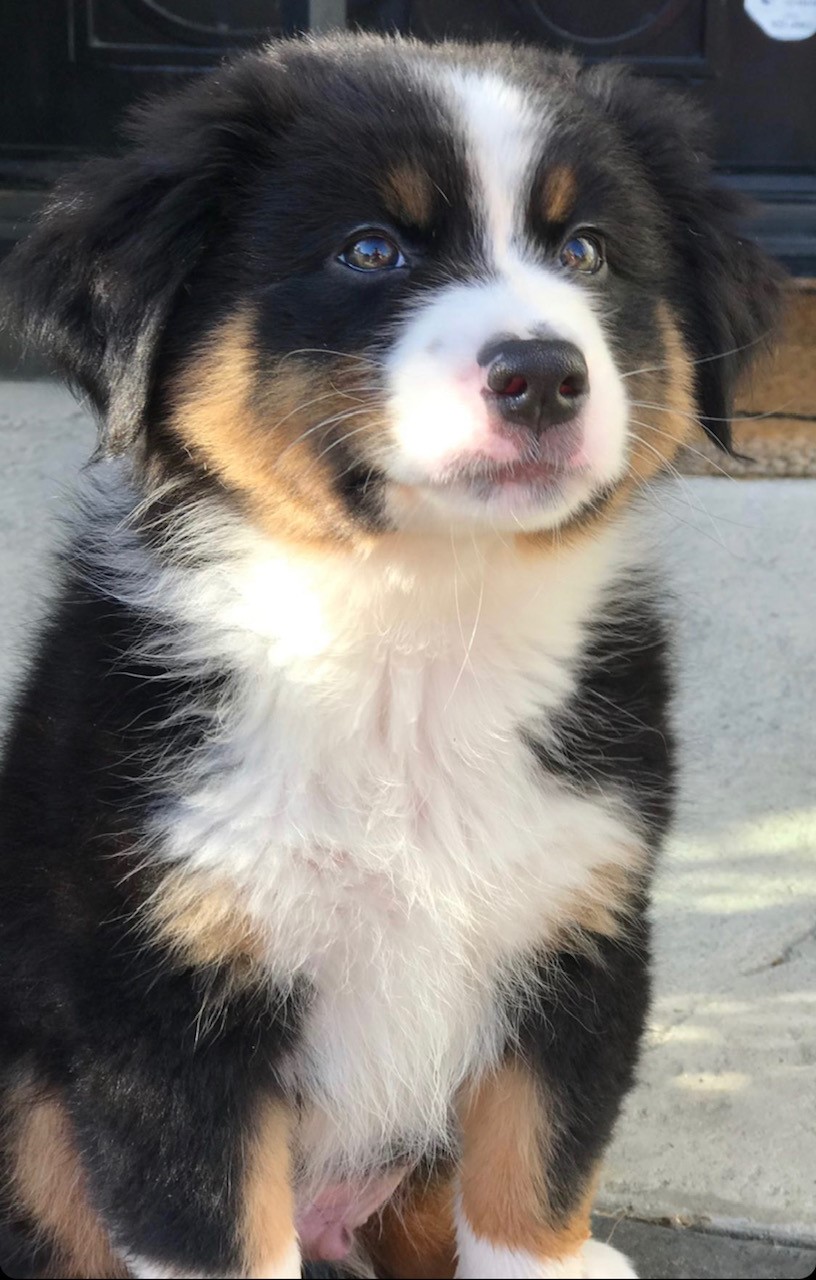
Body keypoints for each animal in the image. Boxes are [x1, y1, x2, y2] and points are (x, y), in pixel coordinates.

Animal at [0, 30, 782, 1280]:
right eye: (370, 248)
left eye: (587, 249)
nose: (543, 372)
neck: (414, 624)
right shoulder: (159, 990)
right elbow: (215, 1226)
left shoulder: (579, 929)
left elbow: (534, 1169)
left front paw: (549, 1254)